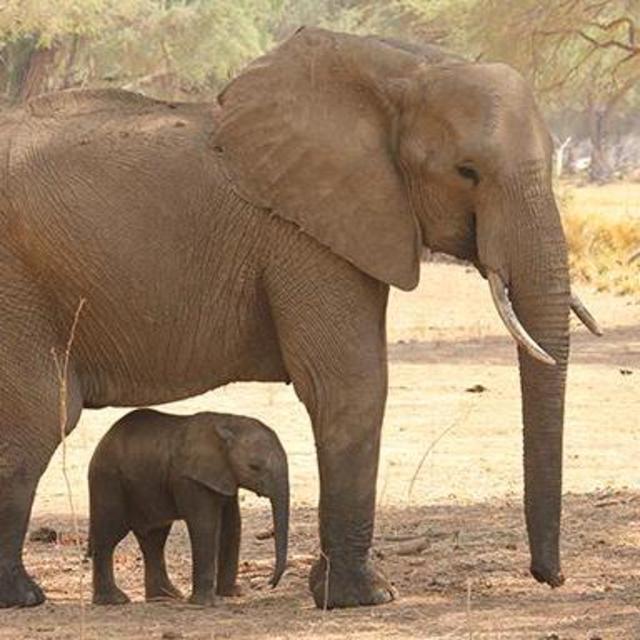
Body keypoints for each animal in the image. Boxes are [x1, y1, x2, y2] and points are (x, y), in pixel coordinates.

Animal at [88, 409, 289, 606]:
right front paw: (209, 603)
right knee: (109, 536)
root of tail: (103, 440)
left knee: (154, 538)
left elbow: (232, 526)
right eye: (254, 467)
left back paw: (168, 597)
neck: (227, 421)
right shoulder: (191, 479)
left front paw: (233, 594)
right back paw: (114, 600)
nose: (269, 584)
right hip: (108, 480)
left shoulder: (225, 476)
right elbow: (205, 526)